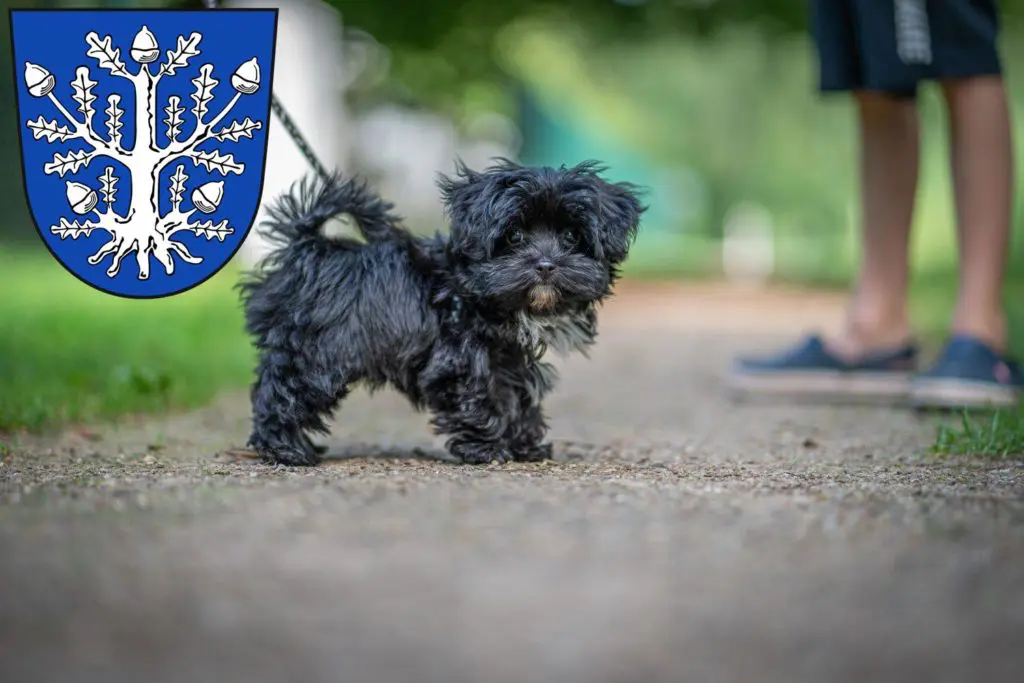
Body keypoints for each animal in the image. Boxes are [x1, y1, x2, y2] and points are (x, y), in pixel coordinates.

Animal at [236, 158, 643, 466]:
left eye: (571, 237)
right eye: (514, 237)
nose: (546, 264)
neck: (476, 289)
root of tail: (308, 249)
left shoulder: (507, 356)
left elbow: (516, 396)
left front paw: (526, 444)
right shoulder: (460, 359)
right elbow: (481, 398)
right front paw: (488, 449)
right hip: (319, 350)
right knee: (283, 389)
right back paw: (287, 450)